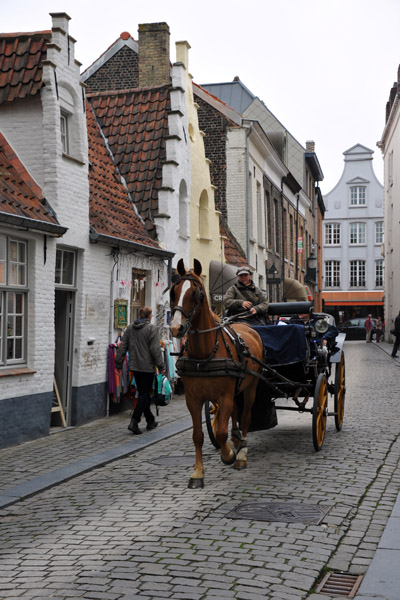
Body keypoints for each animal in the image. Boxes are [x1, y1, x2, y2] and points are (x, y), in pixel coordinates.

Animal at [170, 258, 266, 488]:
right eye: (173, 291)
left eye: (197, 293)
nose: (176, 328)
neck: (205, 353)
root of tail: (246, 325)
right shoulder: (193, 399)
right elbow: (198, 435)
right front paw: (197, 473)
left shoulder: (224, 396)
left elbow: (221, 432)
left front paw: (229, 454)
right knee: (235, 415)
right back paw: (236, 438)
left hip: (250, 388)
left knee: (246, 416)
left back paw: (241, 453)